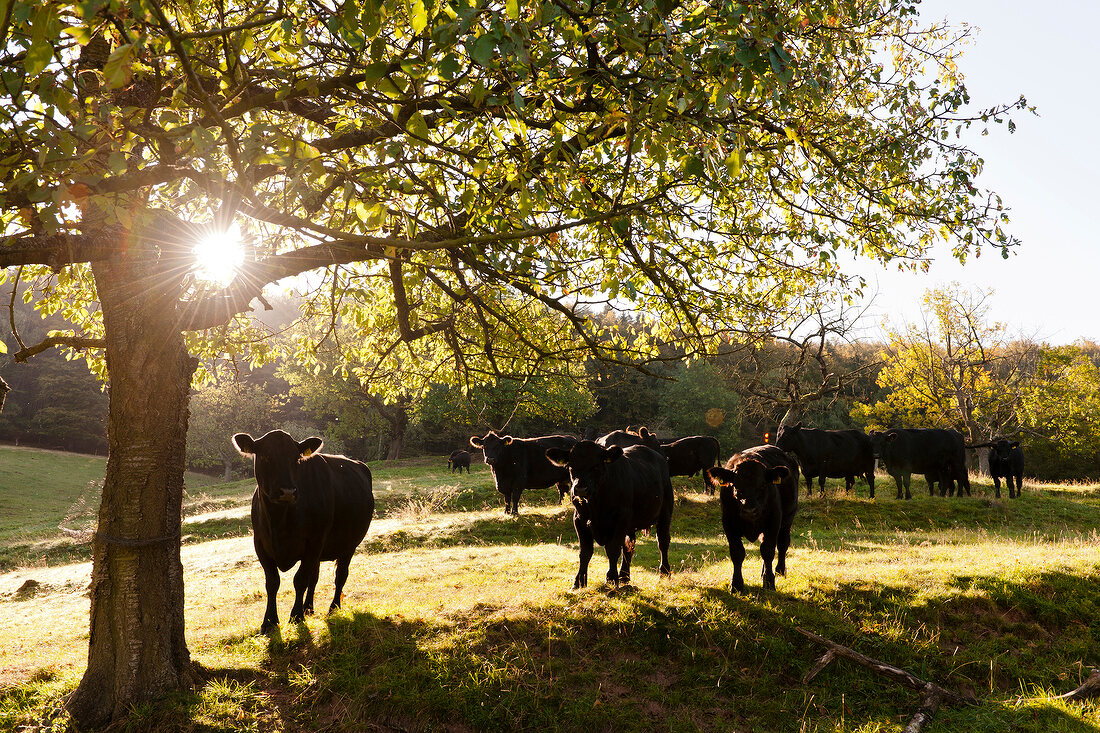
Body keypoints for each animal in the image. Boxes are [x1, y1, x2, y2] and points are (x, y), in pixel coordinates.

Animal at [231, 431, 374, 629]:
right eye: (266, 456)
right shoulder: (260, 544)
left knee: (340, 576)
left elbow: (300, 580)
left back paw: (333, 608)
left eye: (296, 459)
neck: (279, 520)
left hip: (349, 545)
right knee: (315, 576)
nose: (288, 491)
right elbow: (272, 582)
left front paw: (296, 616)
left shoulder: (314, 542)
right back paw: (309, 608)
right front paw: (269, 621)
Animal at [545, 440, 673, 589]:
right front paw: (579, 582)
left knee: (663, 541)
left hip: (665, 512)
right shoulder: (579, 520)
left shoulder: (620, 518)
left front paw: (611, 579)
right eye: (571, 467)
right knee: (629, 546)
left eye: (596, 466)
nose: (581, 489)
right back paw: (624, 576)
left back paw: (664, 572)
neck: (595, 505)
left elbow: (613, 549)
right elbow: (585, 552)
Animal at [704, 442, 800, 589]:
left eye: (763, 486)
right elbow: (737, 552)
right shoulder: (728, 524)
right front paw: (736, 584)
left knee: (782, 544)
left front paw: (769, 581)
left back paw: (780, 571)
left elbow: (768, 550)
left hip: (787, 520)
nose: (749, 510)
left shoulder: (773, 522)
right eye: (736, 486)